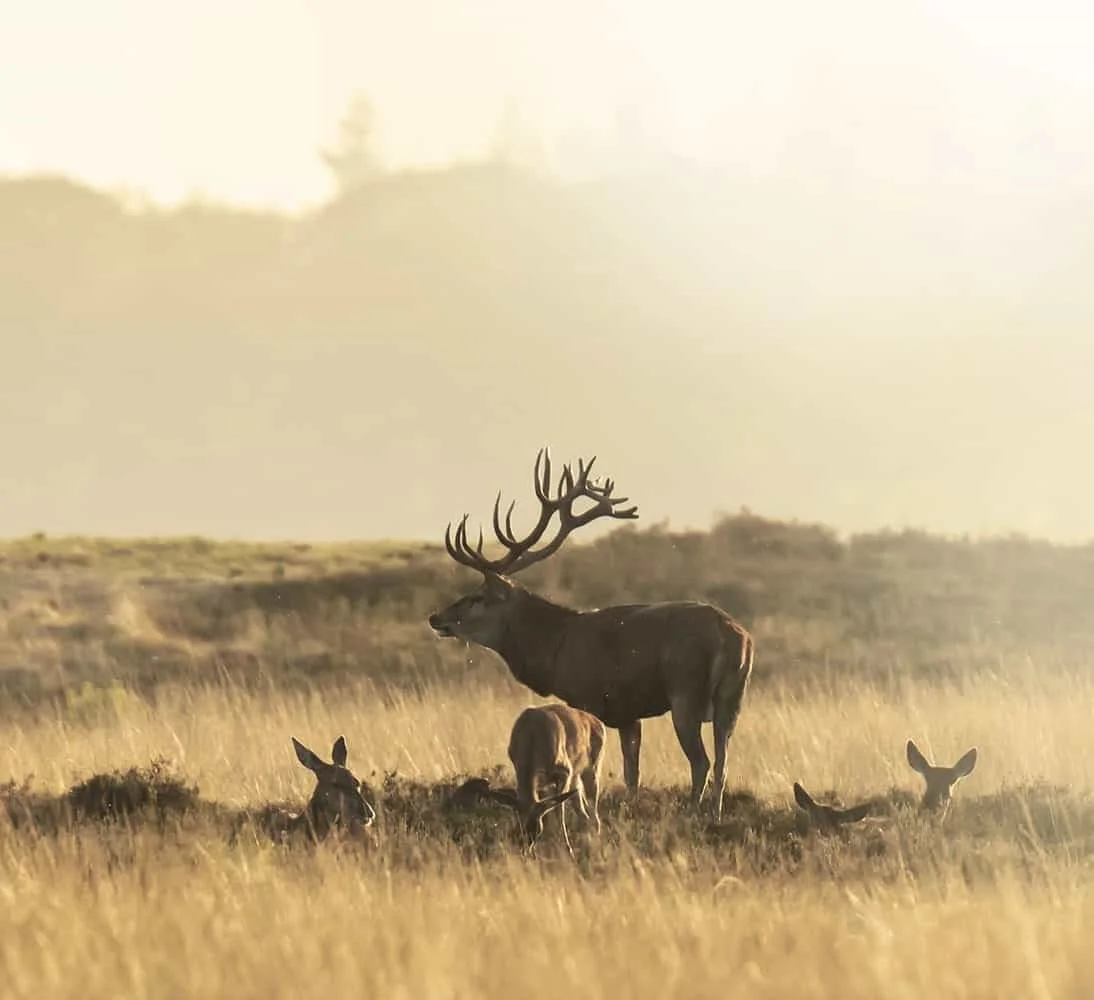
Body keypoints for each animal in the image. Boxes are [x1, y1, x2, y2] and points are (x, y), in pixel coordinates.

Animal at [428, 447, 755, 821]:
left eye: (477, 597)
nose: (435, 617)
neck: (555, 647)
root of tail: (735, 637)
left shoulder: (592, 698)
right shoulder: (629, 712)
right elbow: (632, 773)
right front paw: (629, 810)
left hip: (684, 690)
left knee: (701, 762)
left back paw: (692, 813)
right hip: (733, 697)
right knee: (723, 761)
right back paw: (714, 816)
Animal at [468, 702, 606, 856]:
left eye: (538, 830)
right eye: (517, 829)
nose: (526, 851)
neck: (532, 737)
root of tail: (598, 722)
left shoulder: (565, 771)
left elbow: (559, 811)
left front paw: (568, 850)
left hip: (592, 769)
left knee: (594, 816)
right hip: (576, 779)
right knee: (584, 815)